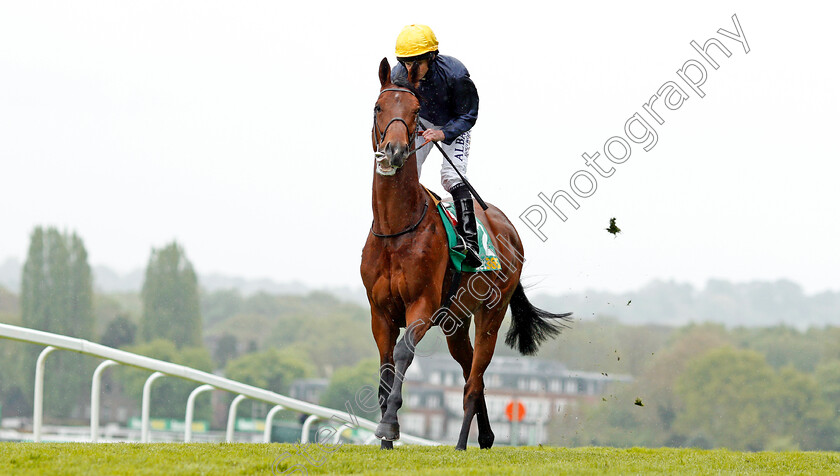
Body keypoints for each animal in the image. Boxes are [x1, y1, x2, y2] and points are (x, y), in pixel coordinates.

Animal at [360, 57, 572, 448]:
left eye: (416, 112)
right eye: (378, 107)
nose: (395, 151)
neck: (397, 229)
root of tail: (510, 232)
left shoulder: (422, 306)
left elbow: (402, 354)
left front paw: (390, 425)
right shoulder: (380, 312)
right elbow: (385, 367)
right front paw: (385, 440)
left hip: (490, 314)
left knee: (474, 382)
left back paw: (462, 444)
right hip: (455, 323)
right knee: (472, 373)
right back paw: (485, 436)